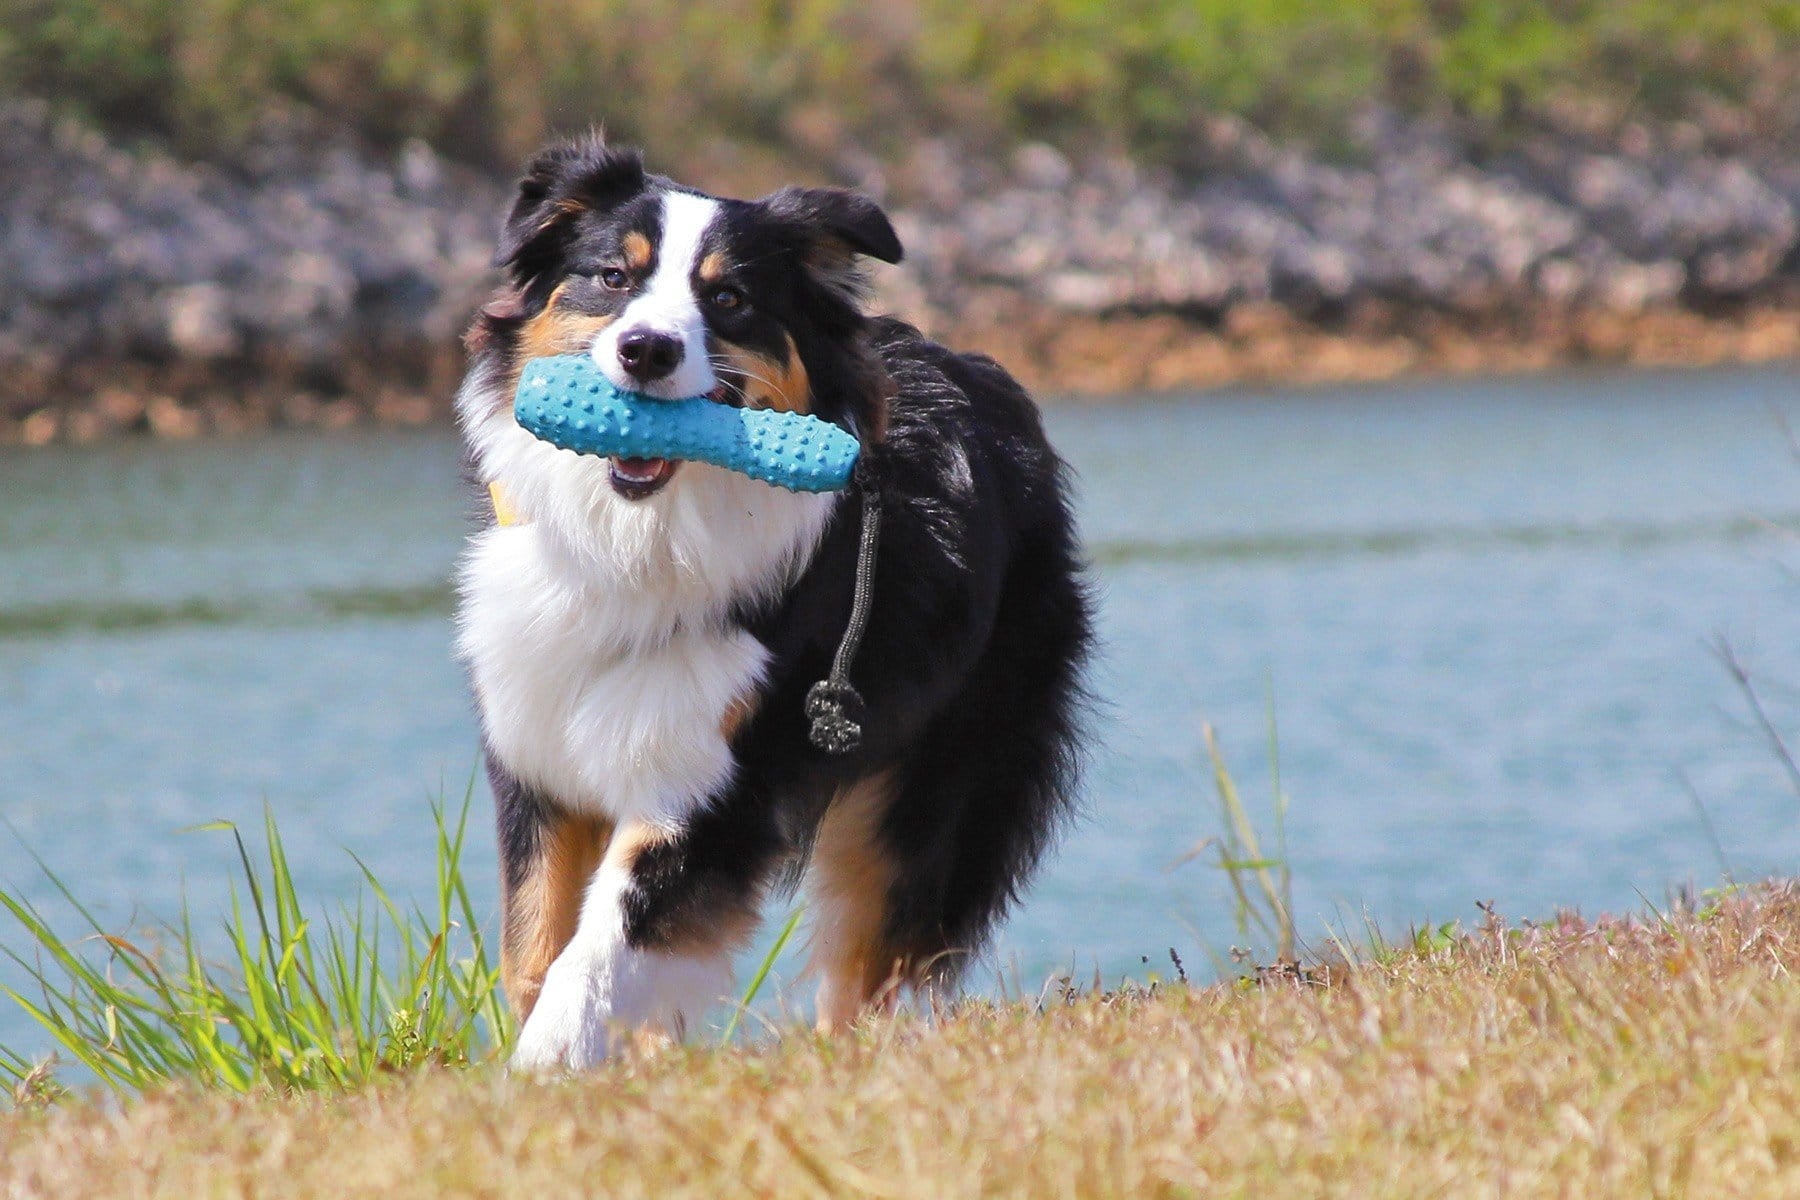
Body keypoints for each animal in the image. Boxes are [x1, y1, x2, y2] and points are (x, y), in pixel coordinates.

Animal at [457, 138, 1087, 1072]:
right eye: (612, 276)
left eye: (729, 298)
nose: (645, 350)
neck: (643, 537)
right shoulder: (536, 758)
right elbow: (533, 945)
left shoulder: (714, 781)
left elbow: (602, 949)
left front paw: (545, 1067)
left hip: (939, 783)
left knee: (867, 957)